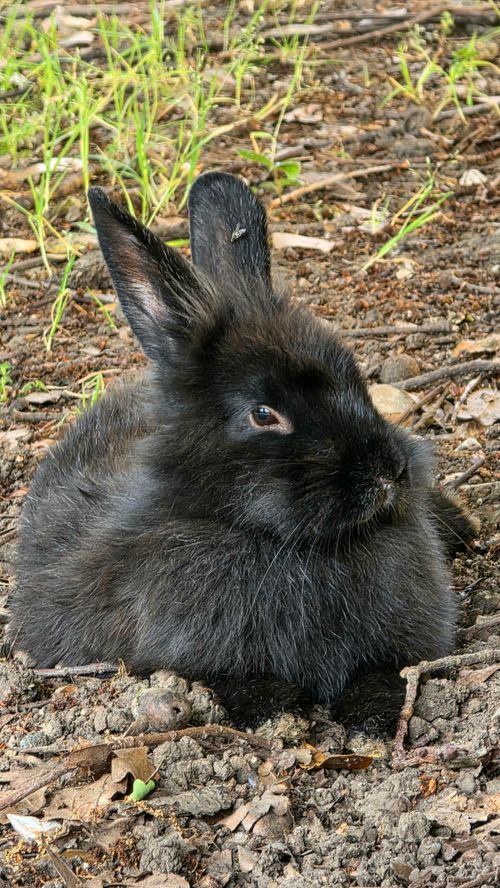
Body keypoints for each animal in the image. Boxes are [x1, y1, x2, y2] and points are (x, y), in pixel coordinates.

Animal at [10, 172, 477, 729]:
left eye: (357, 380)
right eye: (263, 413)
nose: (389, 473)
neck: (287, 544)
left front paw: (377, 712)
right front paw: (275, 707)